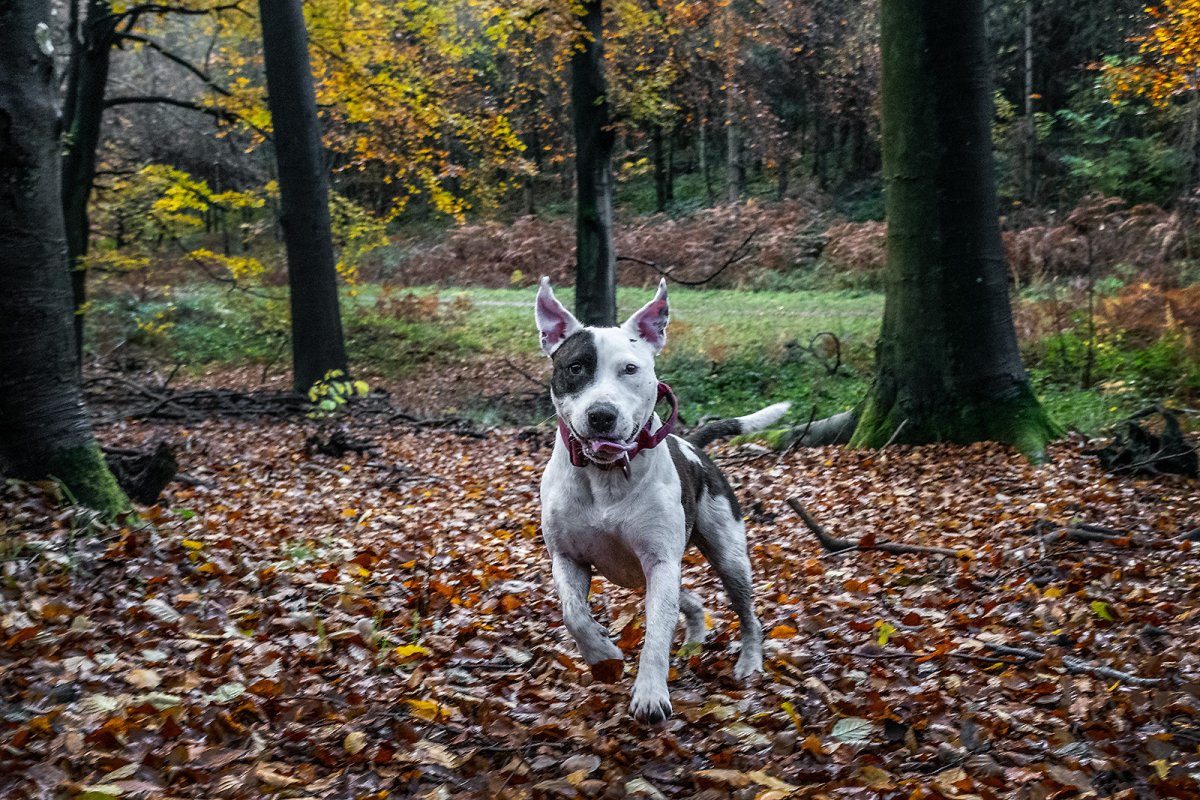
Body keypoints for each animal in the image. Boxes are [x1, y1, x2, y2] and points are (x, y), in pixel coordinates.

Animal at [535, 278, 787, 724]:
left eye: (630, 369)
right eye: (576, 367)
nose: (602, 415)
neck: (606, 476)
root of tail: (692, 443)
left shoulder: (660, 560)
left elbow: (656, 632)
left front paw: (651, 693)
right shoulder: (567, 557)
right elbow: (573, 614)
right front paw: (602, 656)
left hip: (727, 556)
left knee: (748, 614)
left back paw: (749, 662)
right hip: (640, 573)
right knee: (693, 601)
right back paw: (693, 642)